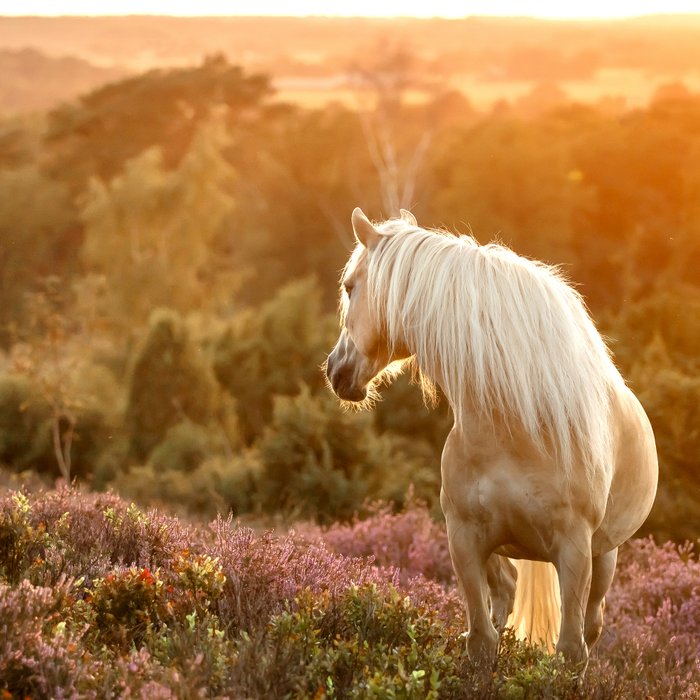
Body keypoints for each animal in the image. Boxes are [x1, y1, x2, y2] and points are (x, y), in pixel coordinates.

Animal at [325, 207, 658, 670]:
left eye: (349, 286)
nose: (335, 370)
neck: (515, 429)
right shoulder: (464, 539)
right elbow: (482, 640)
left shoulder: (574, 549)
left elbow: (571, 650)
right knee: (507, 588)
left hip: (603, 555)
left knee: (591, 621)